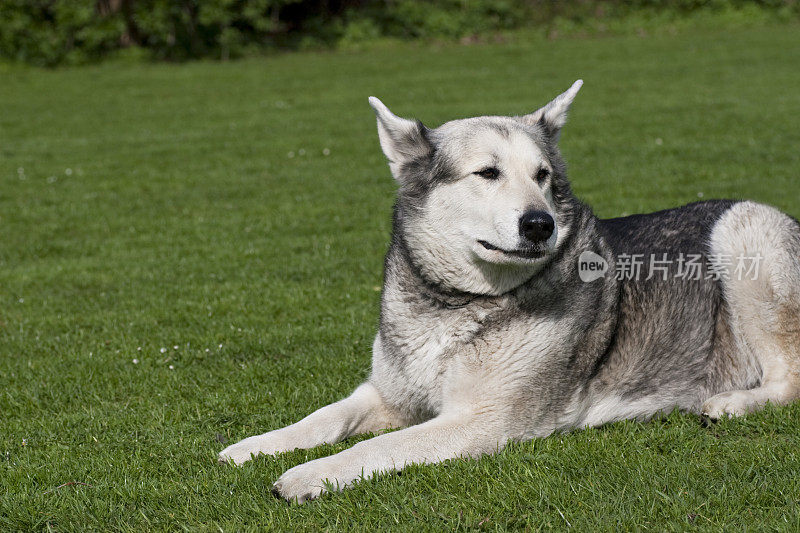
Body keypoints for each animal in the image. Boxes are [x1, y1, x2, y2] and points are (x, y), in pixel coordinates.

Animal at [219, 81, 800, 500]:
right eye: (487, 173)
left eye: (542, 176)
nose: (541, 224)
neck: (457, 304)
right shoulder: (386, 393)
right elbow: (325, 417)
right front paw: (255, 446)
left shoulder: (482, 421)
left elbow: (379, 447)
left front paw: (308, 474)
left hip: (744, 232)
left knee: (789, 381)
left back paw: (732, 404)